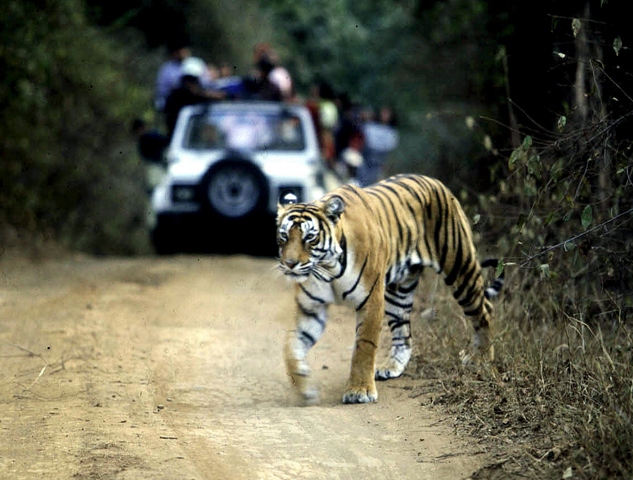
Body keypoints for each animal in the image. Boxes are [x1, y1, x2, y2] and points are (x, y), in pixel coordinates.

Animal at [276, 174, 504, 404]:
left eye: (310, 237)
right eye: (284, 236)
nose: (289, 264)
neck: (327, 268)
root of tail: (434, 181)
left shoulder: (371, 300)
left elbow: (364, 346)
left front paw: (359, 391)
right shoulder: (311, 309)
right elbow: (291, 347)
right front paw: (306, 389)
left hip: (460, 267)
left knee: (484, 309)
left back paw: (482, 358)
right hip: (398, 291)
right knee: (404, 333)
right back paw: (391, 367)